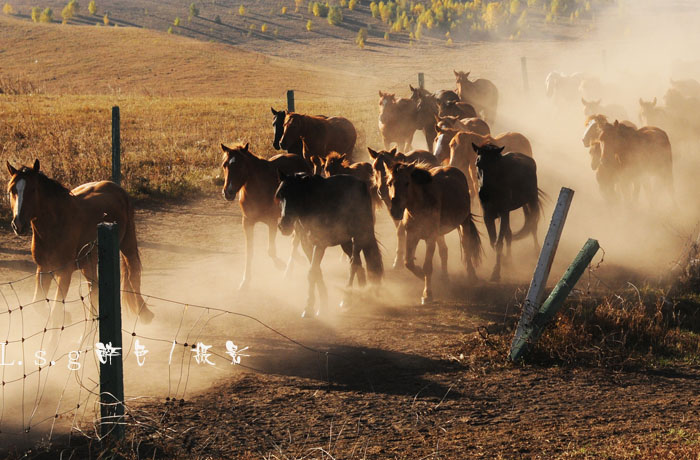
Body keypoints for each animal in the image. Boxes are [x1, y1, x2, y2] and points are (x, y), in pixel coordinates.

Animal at [5, 162, 153, 328]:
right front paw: (68, 317)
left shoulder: (65, 272)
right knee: (94, 292)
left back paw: (144, 314)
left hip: (127, 244)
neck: (55, 224)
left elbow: (56, 311)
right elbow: (38, 304)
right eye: (12, 190)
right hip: (88, 263)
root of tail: (115, 187)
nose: (18, 225)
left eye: (33, 189)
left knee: (133, 274)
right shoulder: (43, 269)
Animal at [220, 142, 310, 290]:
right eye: (224, 165)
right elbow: (249, 252)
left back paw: (288, 271)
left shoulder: (272, 222)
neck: (258, 189)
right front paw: (245, 281)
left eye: (241, 166)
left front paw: (280, 265)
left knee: (296, 240)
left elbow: (270, 250)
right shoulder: (247, 222)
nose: (228, 192)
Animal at [274, 172, 382, 316]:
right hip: (345, 242)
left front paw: (309, 306)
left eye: (297, 194)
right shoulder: (306, 245)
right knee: (358, 263)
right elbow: (317, 272)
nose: (284, 226)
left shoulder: (320, 244)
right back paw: (361, 294)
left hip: (360, 236)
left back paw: (347, 299)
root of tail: (362, 185)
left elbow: (312, 272)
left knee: (354, 264)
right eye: (280, 195)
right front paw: (322, 304)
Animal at [382, 164, 482, 304]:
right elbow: (408, 262)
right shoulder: (412, 236)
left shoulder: (430, 238)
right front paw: (420, 274)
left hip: (464, 222)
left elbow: (427, 267)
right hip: (440, 234)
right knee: (444, 251)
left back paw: (472, 276)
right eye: (389, 183)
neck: (420, 205)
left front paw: (427, 294)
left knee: (466, 247)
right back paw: (445, 278)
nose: (395, 210)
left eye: (407, 183)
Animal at [476, 144, 540, 280]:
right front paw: (506, 262)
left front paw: (496, 272)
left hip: (532, 202)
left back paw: (537, 252)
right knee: (509, 235)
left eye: (495, 165)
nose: (483, 194)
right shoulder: (488, 217)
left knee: (533, 225)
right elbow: (494, 241)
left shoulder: (504, 213)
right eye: (478, 164)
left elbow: (499, 243)